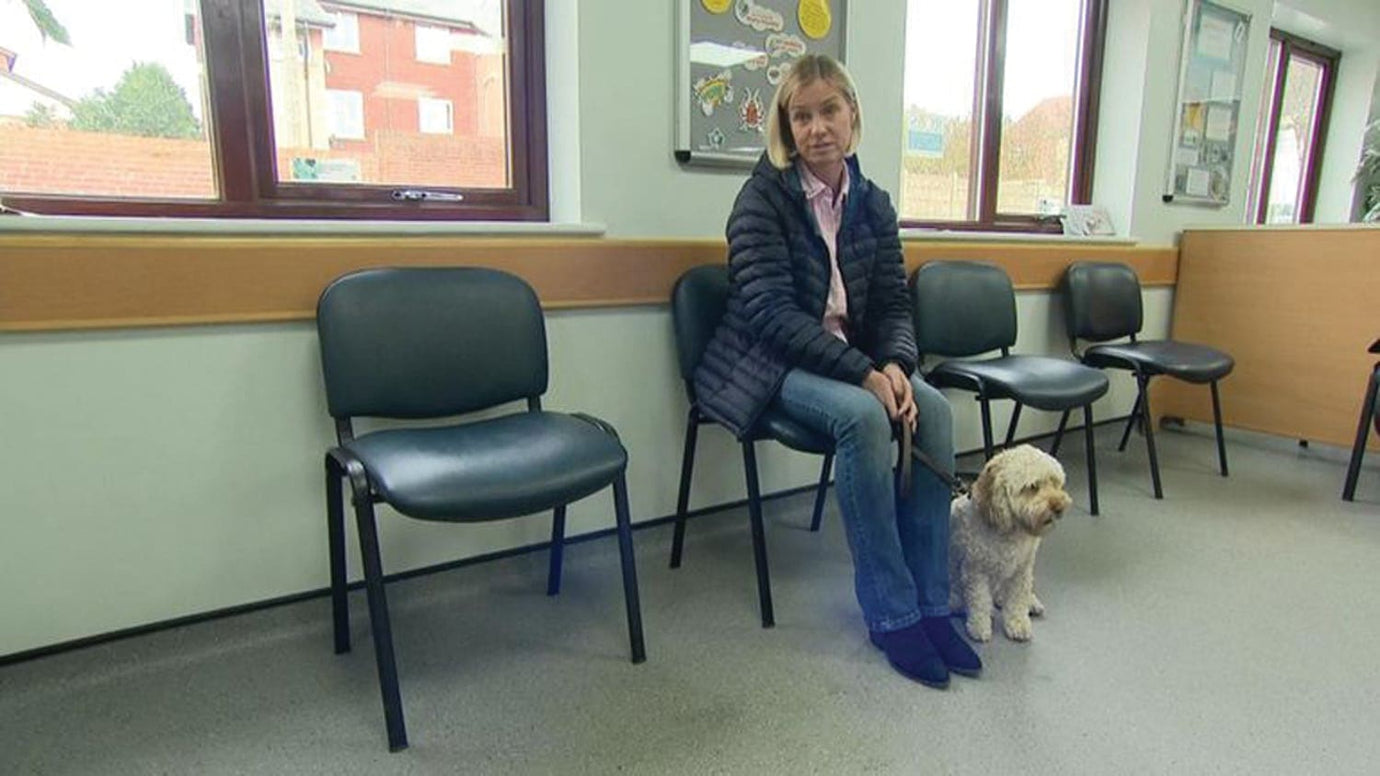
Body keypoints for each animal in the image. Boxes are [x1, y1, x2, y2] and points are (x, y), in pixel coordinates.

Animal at [954, 444, 1070, 637]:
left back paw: (1030, 602)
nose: (1059, 507)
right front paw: (979, 626)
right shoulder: (975, 571)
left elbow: (1017, 599)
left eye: (1054, 482)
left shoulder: (1021, 570)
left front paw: (1018, 623)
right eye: (1032, 486)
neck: (1010, 532)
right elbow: (979, 601)